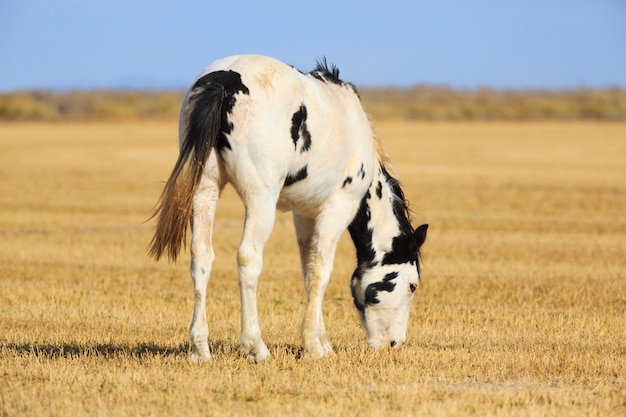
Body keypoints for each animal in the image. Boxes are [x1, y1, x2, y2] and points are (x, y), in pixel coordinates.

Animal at [149, 54, 426, 360]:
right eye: (412, 286)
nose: (395, 344)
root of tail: (223, 80)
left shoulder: (304, 213)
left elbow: (308, 271)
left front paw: (322, 343)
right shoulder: (339, 207)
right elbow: (321, 272)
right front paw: (313, 346)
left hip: (205, 191)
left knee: (201, 256)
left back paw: (200, 349)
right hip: (260, 199)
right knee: (248, 258)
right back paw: (255, 346)